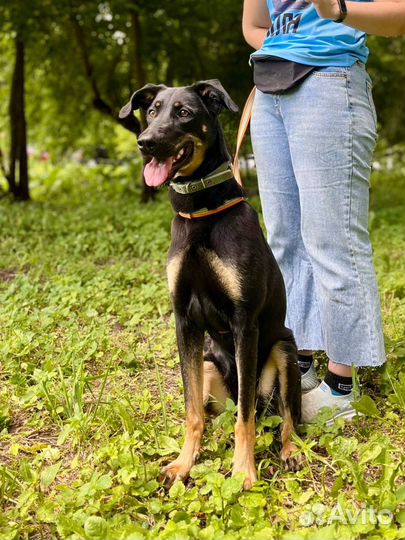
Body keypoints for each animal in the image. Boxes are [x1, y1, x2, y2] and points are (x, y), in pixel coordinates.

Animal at [119, 80, 300, 490]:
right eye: (151, 111)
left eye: (184, 113)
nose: (145, 142)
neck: (200, 212)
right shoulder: (184, 321)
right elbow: (191, 413)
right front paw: (184, 464)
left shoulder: (244, 322)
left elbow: (245, 419)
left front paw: (244, 471)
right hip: (207, 364)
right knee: (221, 415)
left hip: (284, 350)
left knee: (283, 416)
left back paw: (290, 450)